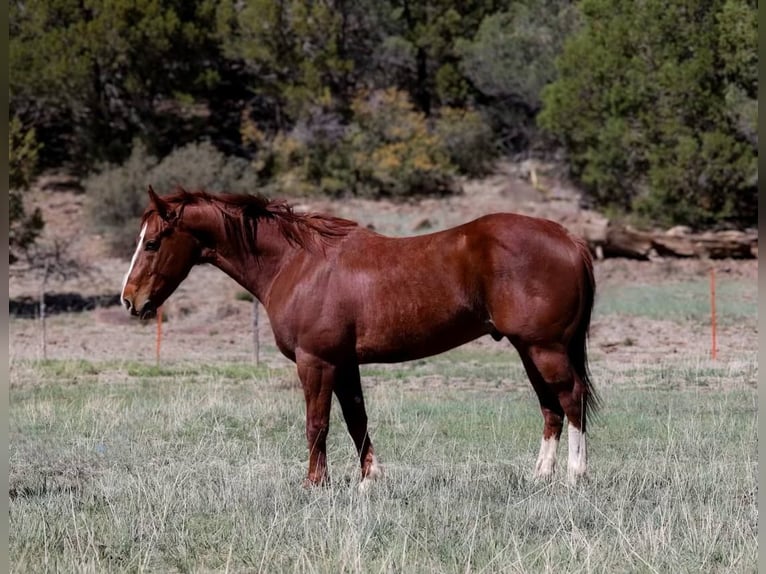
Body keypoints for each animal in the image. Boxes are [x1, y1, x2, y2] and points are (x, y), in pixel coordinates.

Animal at [121, 186, 599, 488]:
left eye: (153, 242)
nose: (129, 300)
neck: (298, 263)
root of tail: (570, 239)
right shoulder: (344, 363)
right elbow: (356, 419)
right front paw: (370, 479)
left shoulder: (316, 362)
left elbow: (317, 423)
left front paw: (315, 484)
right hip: (529, 349)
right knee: (550, 407)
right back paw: (540, 477)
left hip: (545, 348)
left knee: (570, 398)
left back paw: (575, 476)